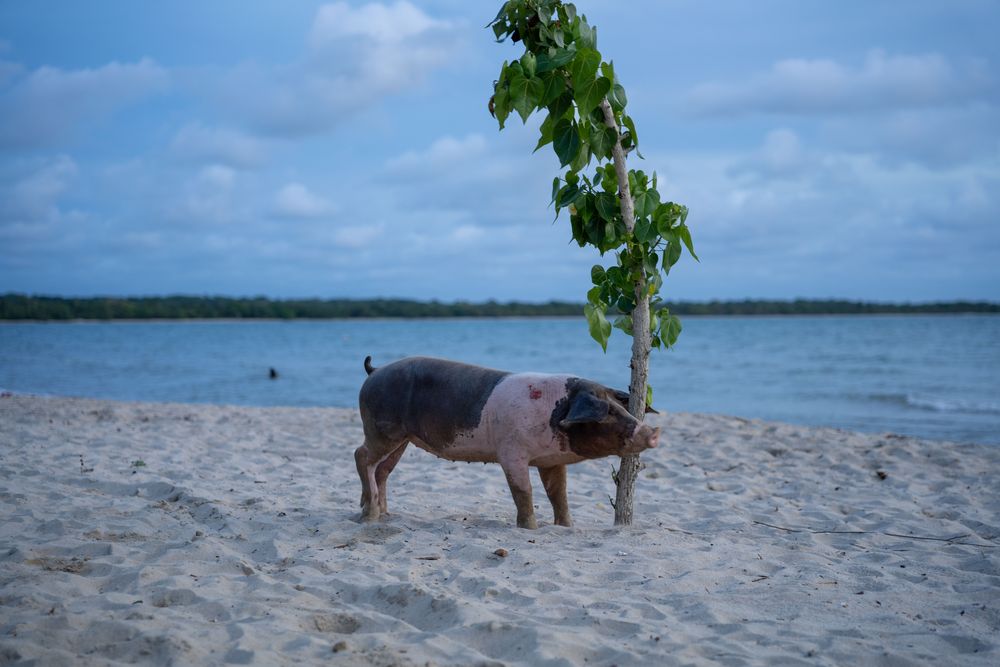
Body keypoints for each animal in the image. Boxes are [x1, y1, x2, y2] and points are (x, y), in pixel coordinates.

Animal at [355, 355, 660, 529]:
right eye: (606, 412)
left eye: (619, 408)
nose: (653, 432)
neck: (555, 411)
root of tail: (374, 372)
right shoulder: (511, 452)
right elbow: (523, 490)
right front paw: (530, 529)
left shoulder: (551, 460)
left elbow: (558, 493)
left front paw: (566, 527)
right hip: (381, 429)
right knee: (361, 455)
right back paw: (369, 516)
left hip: (402, 440)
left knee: (382, 470)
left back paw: (385, 514)